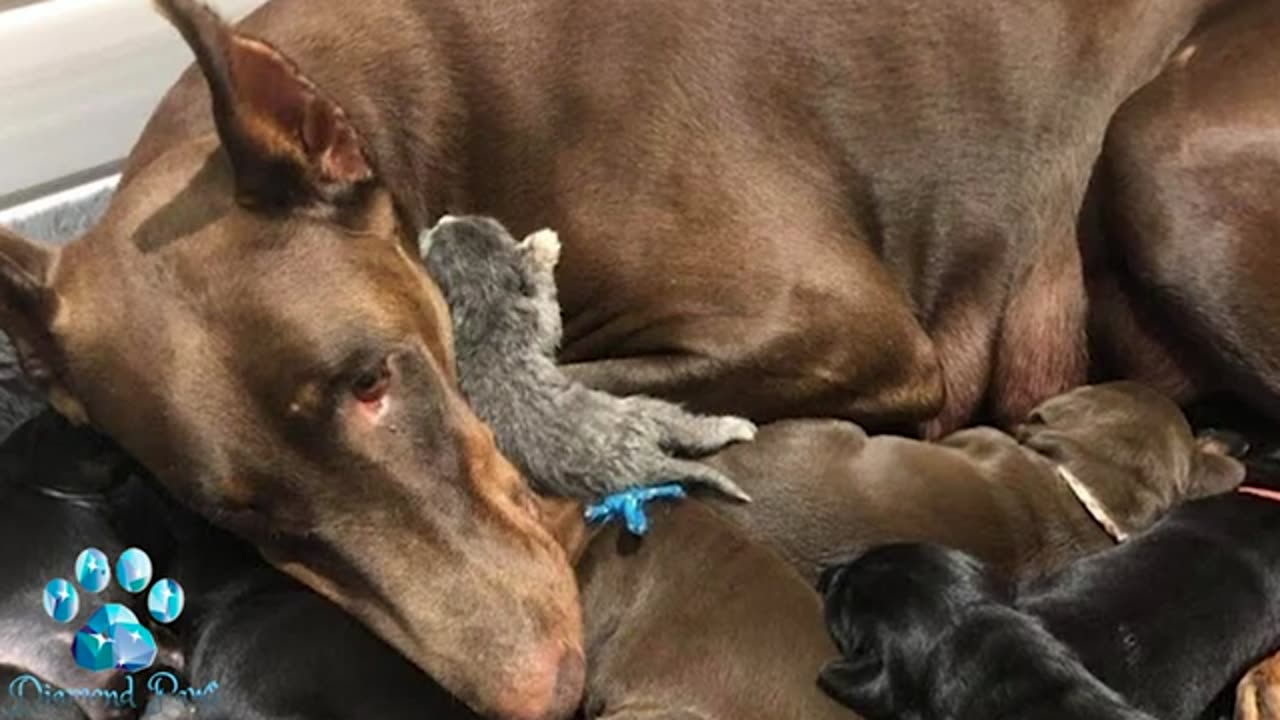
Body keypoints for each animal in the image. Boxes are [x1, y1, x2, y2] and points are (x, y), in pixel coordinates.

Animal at [419, 215, 757, 502]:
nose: (438, 220)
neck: (485, 303)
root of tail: (646, 462)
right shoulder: (538, 321)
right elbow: (550, 312)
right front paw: (544, 245)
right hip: (649, 412)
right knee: (693, 430)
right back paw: (736, 426)